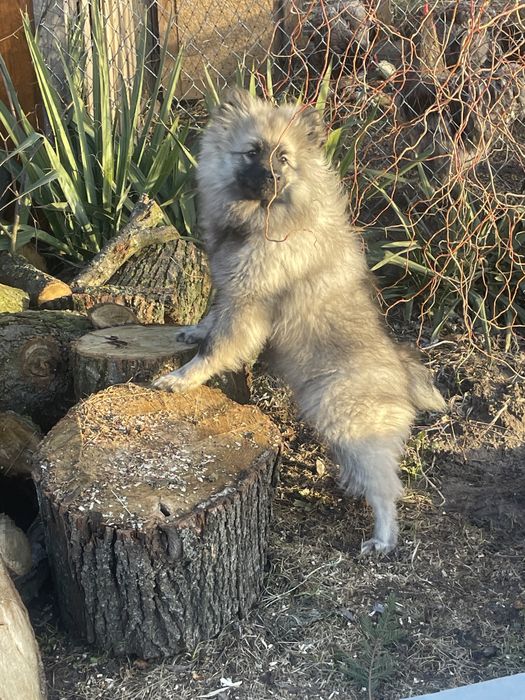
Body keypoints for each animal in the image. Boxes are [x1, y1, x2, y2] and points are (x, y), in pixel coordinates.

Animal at [154, 89, 444, 552]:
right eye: (253, 152)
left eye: (284, 158)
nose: (272, 178)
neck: (264, 216)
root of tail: (400, 376)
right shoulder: (229, 289)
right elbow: (212, 318)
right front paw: (194, 331)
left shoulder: (248, 303)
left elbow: (217, 347)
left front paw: (183, 378)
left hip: (343, 415)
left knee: (386, 488)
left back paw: (382, 538)